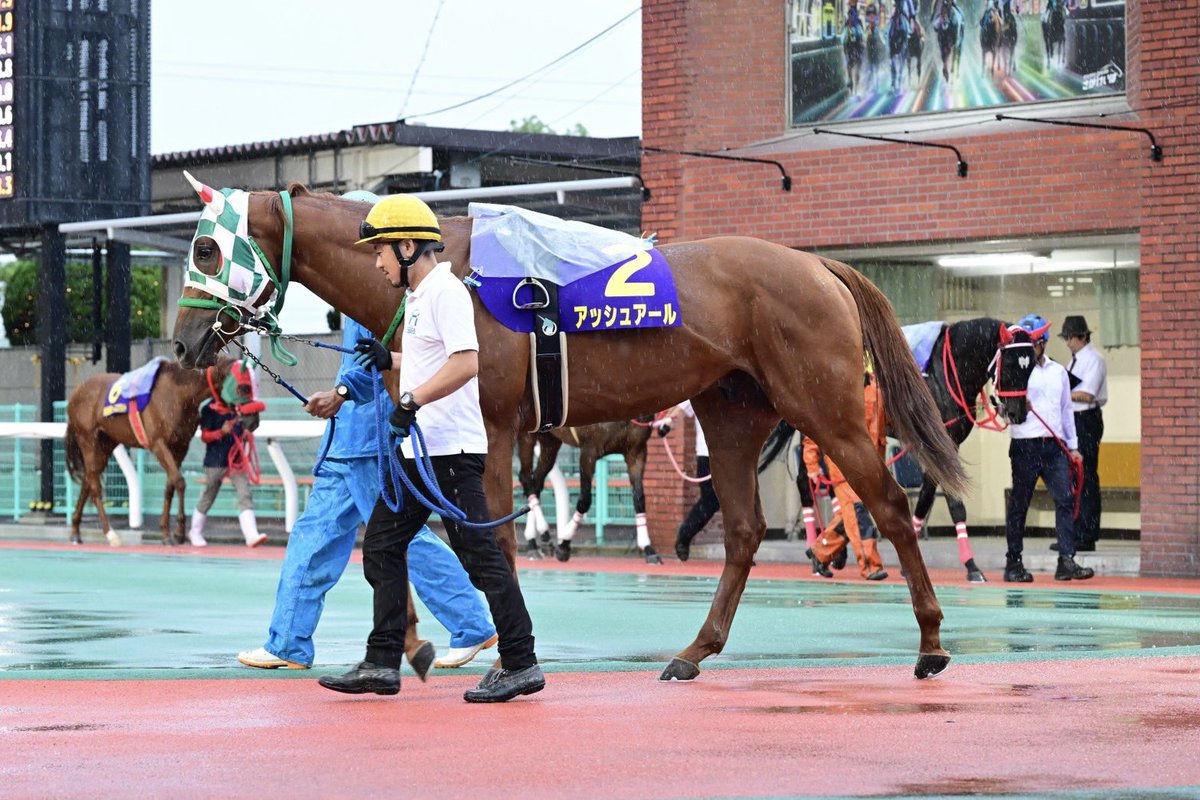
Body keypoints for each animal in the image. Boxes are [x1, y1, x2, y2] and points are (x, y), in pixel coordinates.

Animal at [64, 356, 262, 546]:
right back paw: (110, 533)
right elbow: (180, 481)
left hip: (106, 443)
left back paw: (75, 531)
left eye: (255, 385)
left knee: (88, 479)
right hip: (88, 439)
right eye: (244, 387)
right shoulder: (158, 443)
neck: (179, 394)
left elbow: (170, 486)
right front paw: (179, 532)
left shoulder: (181, 446)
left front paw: (167, 533)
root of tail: (75, 393)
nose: (253, 421)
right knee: (95, 486)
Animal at [517, 419, 659, 564]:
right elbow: (585, 500)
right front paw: (564, 544)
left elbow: (639, 498)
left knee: (537, 481)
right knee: (526, 478)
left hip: (550, 440)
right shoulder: (589, 451)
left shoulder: (636, 451)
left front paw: (648, 549)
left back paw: (535, 542)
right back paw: (540, 535)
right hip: (527, 436)